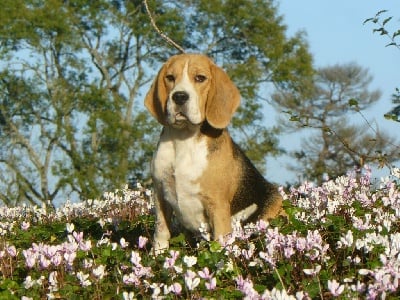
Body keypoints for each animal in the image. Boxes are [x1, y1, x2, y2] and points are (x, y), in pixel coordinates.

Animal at [145, 52, 282, 252]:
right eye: (170, 78)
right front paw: (157, 255)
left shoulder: (217, 206)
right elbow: (161, 233)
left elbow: (219, 244)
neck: (183, 140)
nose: (179, 96)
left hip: (274, 201)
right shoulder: (160, 194)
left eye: (200, 78)